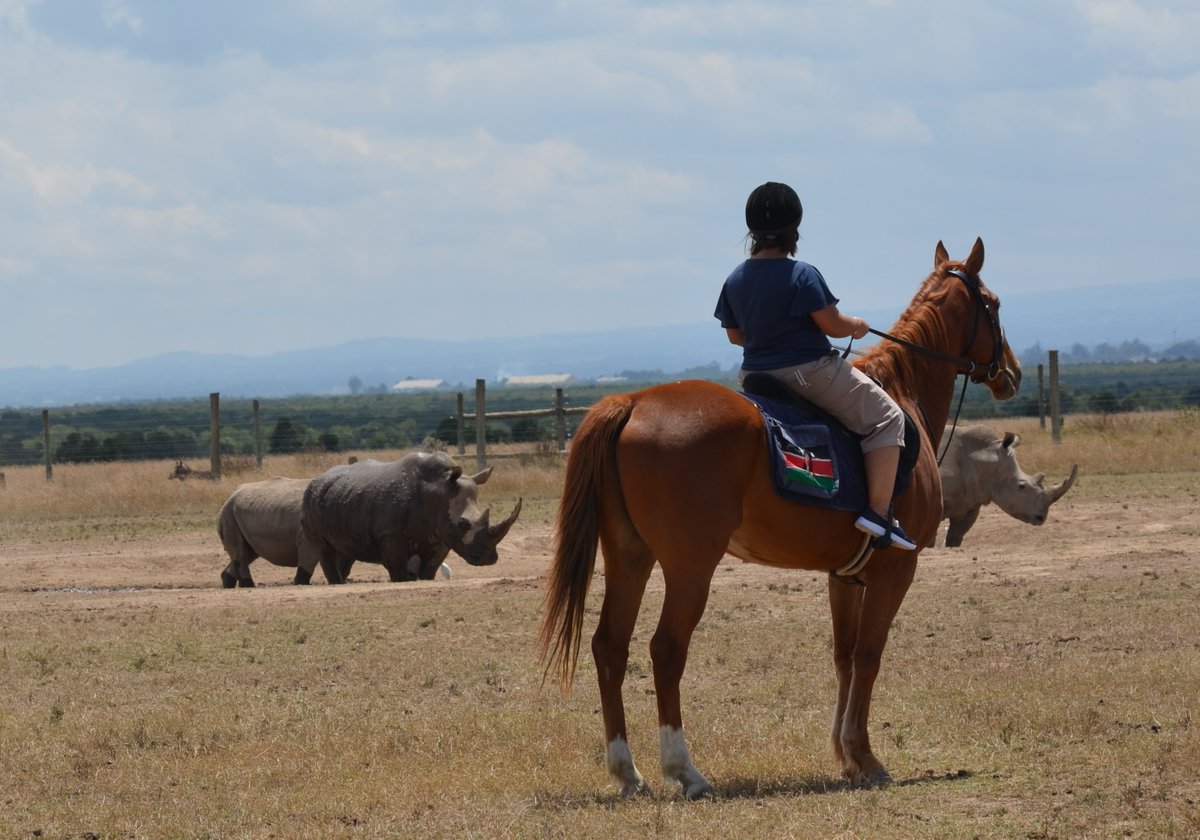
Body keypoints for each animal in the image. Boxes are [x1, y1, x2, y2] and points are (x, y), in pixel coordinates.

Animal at [302, 452, 522, 583]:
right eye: (463, 524)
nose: (488, 559)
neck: (438, 493)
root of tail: (317, 478)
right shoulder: (390, 533)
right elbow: (399, 570)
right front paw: (402, 580)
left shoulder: (441, 534)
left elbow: (429, 569)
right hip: (309, 498)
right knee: (323, 548)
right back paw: (336, 582)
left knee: (347, 549)